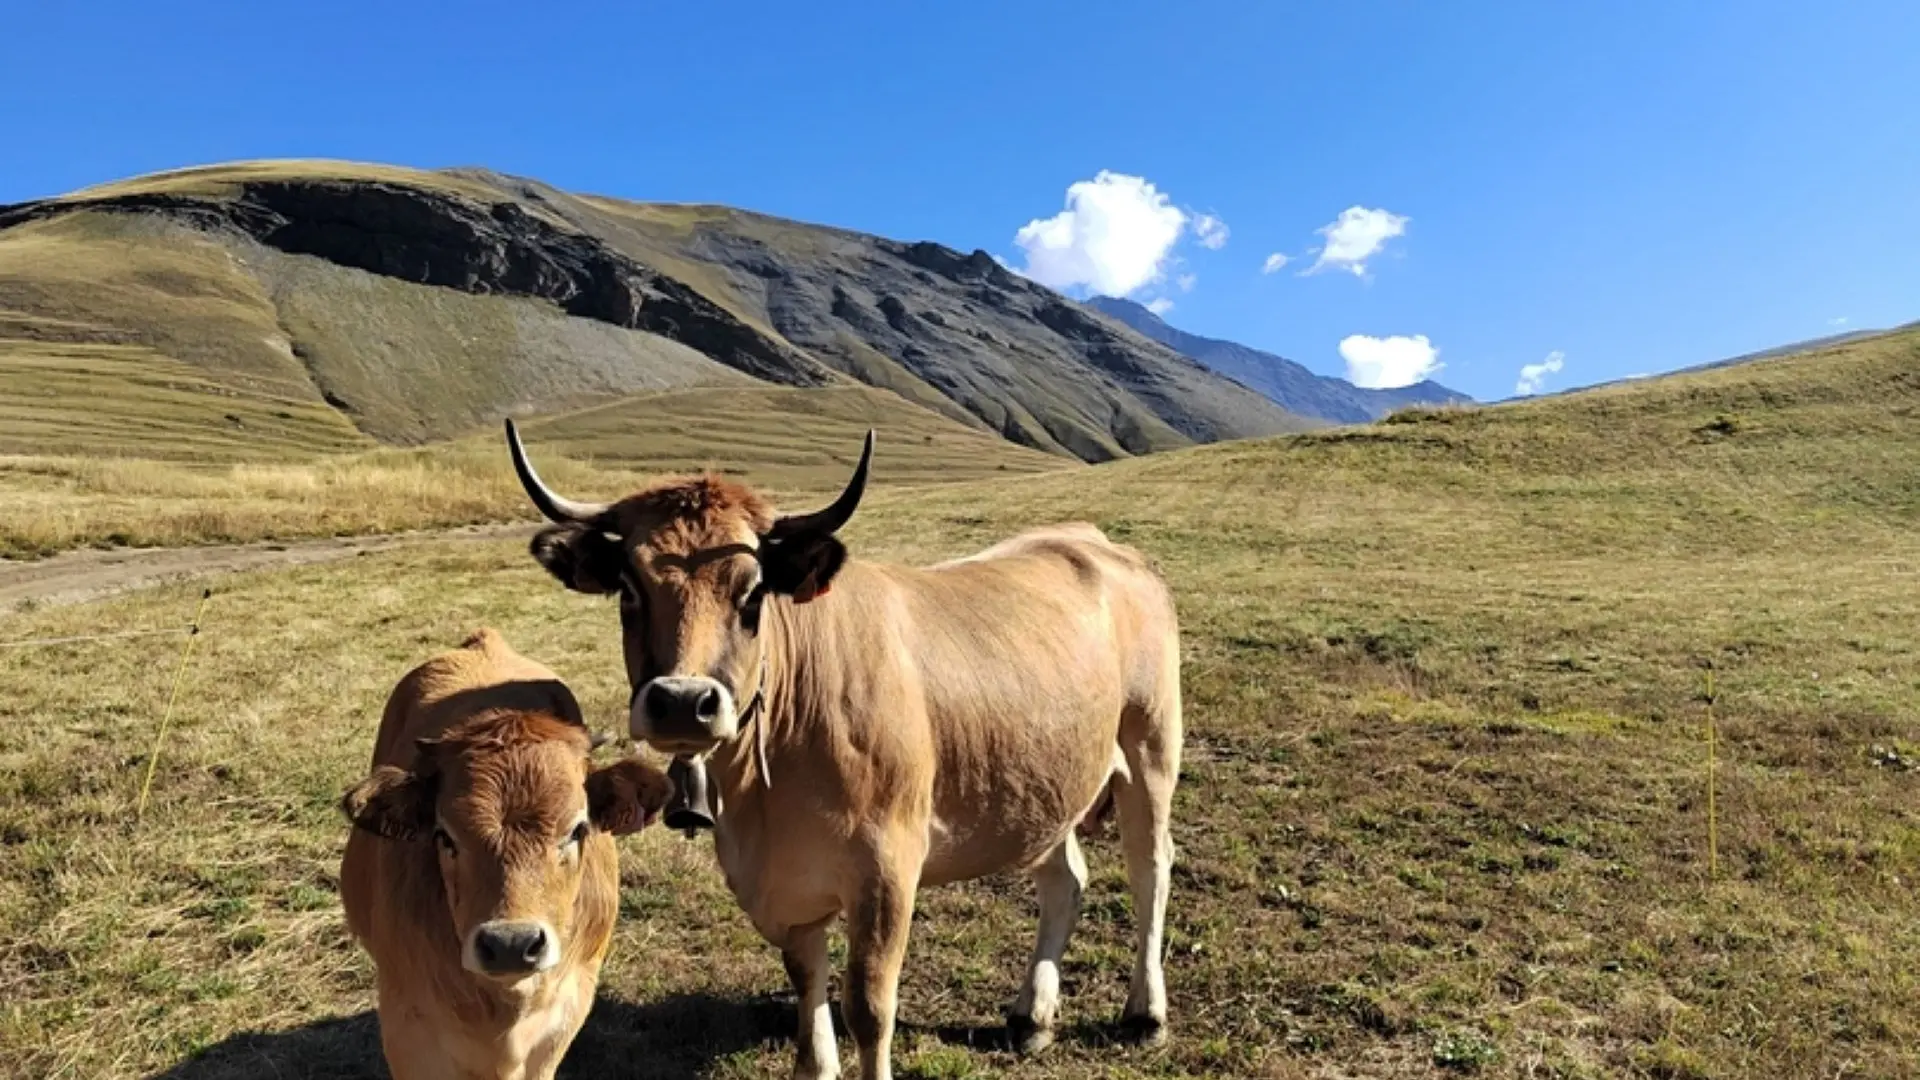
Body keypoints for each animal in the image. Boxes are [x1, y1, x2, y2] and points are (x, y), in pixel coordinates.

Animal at [503, 422, 1175, 1076]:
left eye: (752, 594)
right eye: (629, 590)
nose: (682, 700)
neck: (764, 799)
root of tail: (1089, 538)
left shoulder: (887, 868)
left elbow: (869, 1009)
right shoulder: (782, 885)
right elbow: (808, 987)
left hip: (1151, 746)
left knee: (1151, 866)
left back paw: (1145, 1012)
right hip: (1046, 780)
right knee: (1065, 878)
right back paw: (1031, 1016)